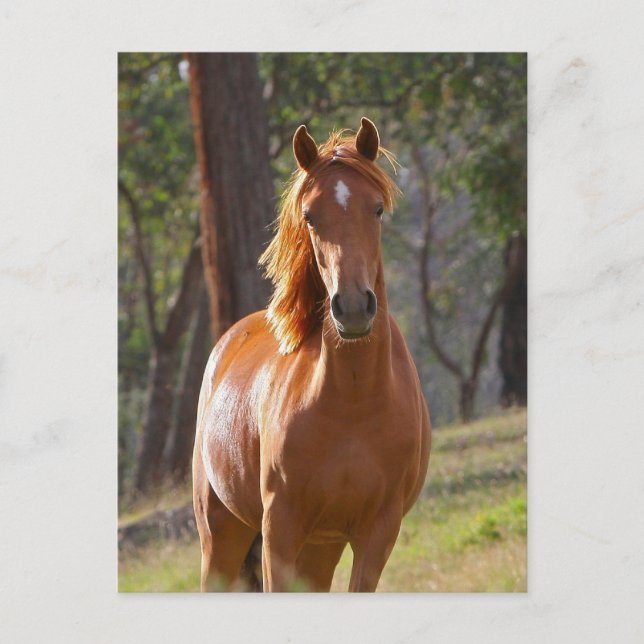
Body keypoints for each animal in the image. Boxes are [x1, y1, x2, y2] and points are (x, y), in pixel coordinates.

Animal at [193, 117, 431, 592]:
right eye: (310, 215)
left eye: (377, 209)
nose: (353, 307)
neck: (354, 403)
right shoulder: (280, 529)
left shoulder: (377, 533)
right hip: (222, 537)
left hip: (321, 549)